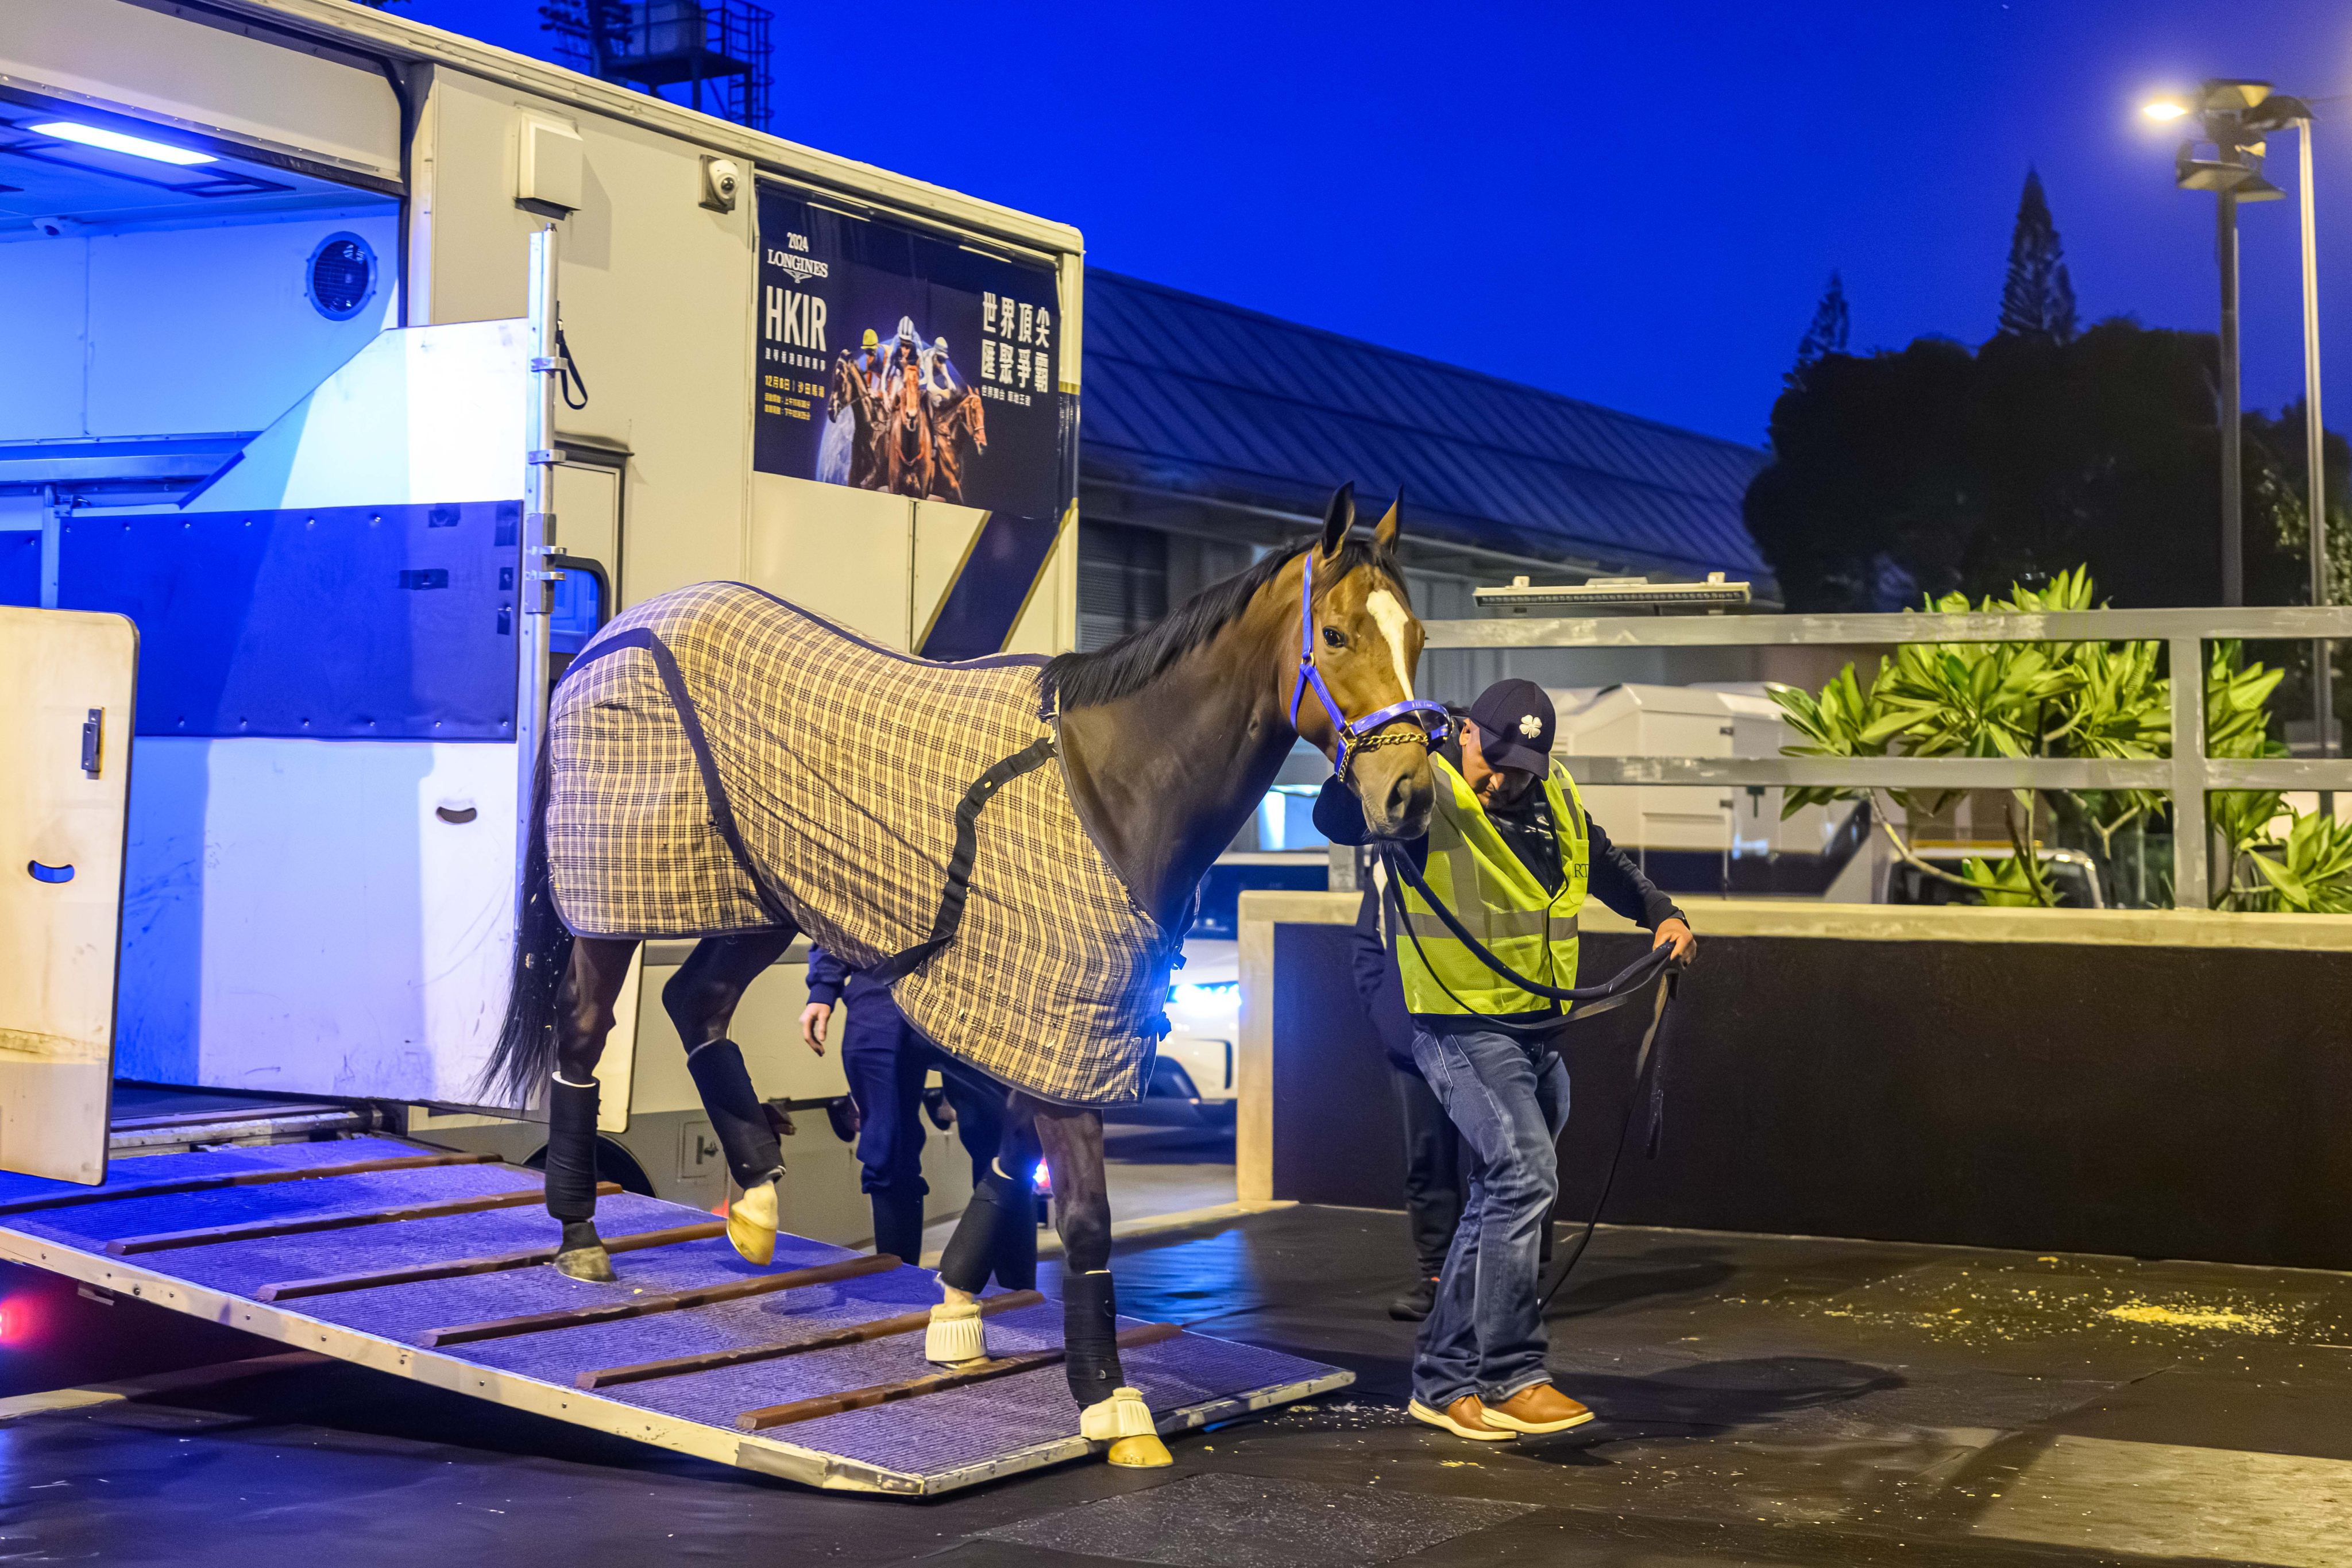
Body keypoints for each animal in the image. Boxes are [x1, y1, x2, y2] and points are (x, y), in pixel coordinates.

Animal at [491, 484, 1430, 1467]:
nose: (1408, 794)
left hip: (760, 893)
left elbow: (1012, 1166)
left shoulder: (1052, 1029)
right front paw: (1111, 1403)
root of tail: (615, 631)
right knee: (586, 1029)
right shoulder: (1058, 1033)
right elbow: (1084, 1213)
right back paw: (580, 1233)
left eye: (1415, 636)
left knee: (693, 1001)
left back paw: (752, 1207)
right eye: (1334, 634)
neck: (1111, 785)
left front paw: (952, 1310)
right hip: (620, 901)